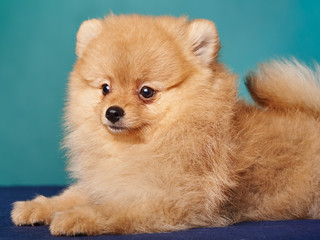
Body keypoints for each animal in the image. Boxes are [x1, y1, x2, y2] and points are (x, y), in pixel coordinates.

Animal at [10, 14, 320, 235]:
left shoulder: (166, 199)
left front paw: (75, 218)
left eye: (146, 92)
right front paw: (37, 206)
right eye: (105, 88)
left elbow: (111, 210)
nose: (112, 112)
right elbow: (73, 194)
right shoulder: (109, 182)